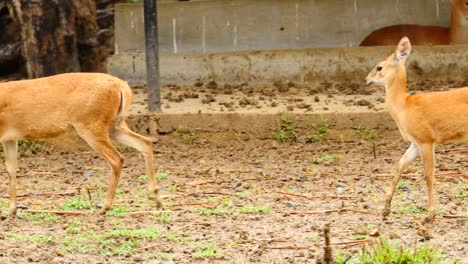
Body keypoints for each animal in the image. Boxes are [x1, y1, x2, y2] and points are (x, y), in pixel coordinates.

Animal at [0, 72, 163, 217]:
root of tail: (122, 86)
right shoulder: (10, 138)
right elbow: (11, 170)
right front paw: (12, 211)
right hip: (114, 124)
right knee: (145, 142)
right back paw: (157, 199)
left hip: (91, 123)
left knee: (117, 159)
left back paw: (104, 207)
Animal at [366, 37, 468, 223]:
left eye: (379, 67)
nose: (366, 80)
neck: (404, 107)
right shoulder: (415, 141)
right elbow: (400, 164)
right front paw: (385, 209)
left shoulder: (426, 139)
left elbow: (428, 175)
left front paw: (430, 215)